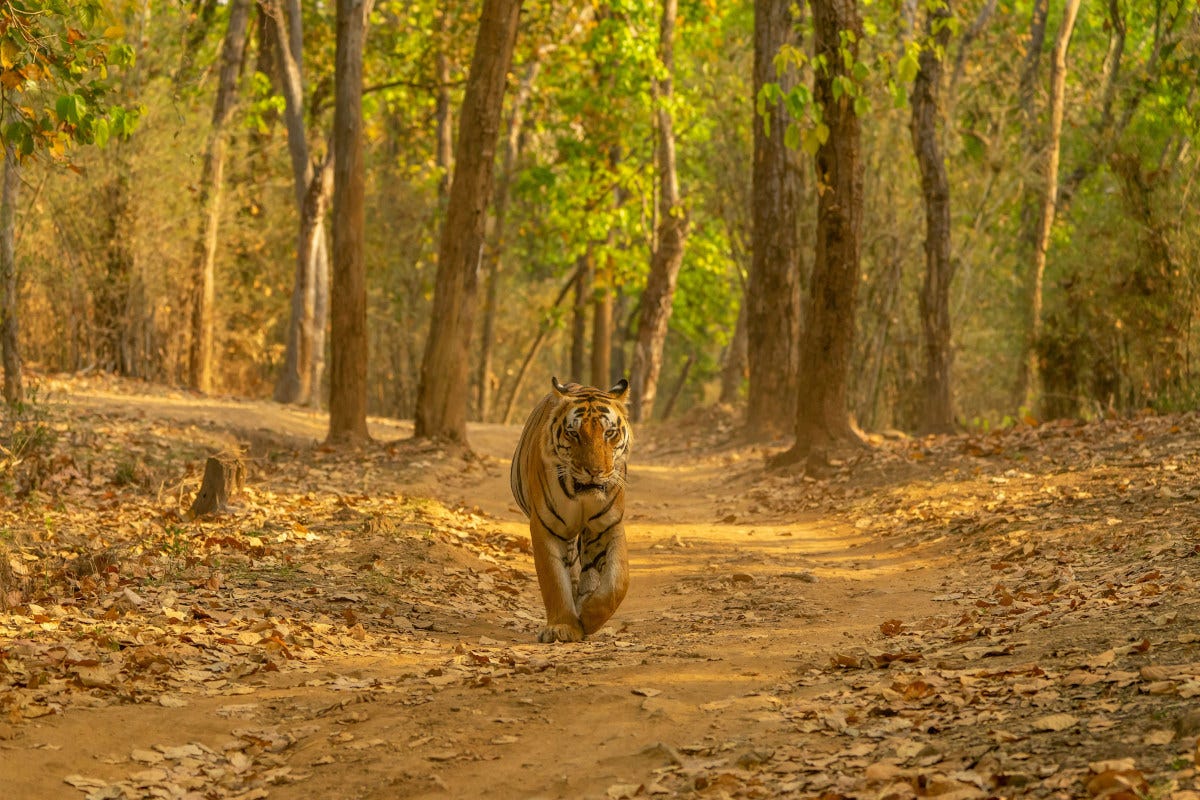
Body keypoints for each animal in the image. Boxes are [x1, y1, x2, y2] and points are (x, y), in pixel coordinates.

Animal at [510, 376, 633, 643]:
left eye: (609, 433)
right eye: (573, 433)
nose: (595, 471)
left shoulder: (608, 526)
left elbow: (617, 583)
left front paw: (588, 617)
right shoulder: (546, 527)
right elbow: (554, 580)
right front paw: (563, 627)